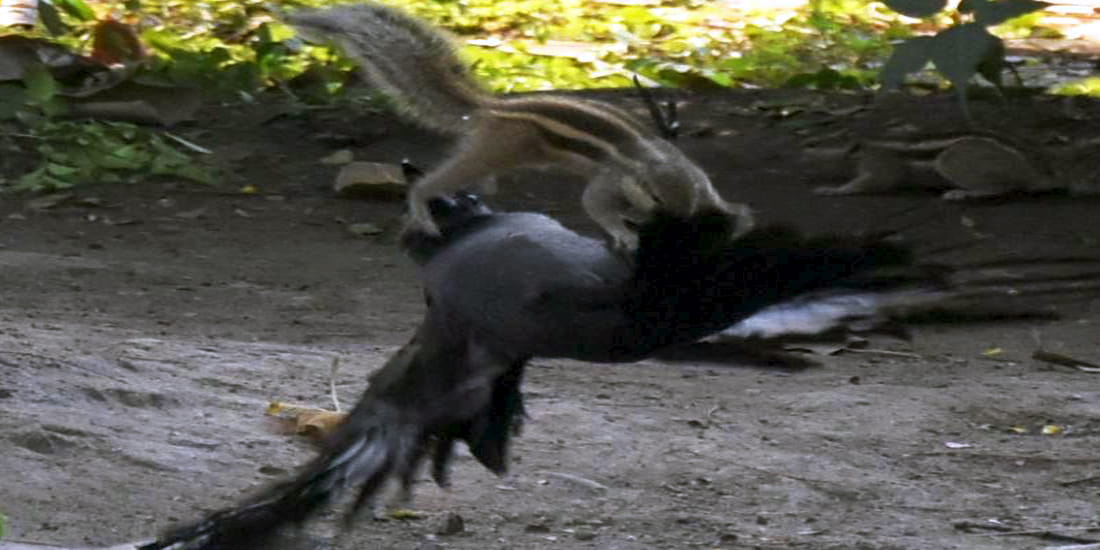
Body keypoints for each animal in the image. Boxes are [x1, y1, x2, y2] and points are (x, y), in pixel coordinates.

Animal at [287, 3, 751, 250]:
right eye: (655, 195)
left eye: (690, 202)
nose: (674, 227)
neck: (646, 160)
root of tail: (490, 108)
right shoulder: (609, 180)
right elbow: (595, 205)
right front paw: (626, 233)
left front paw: (734, 220)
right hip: (498, 147)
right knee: (433, 181)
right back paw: (422, 210)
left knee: (479, 185)